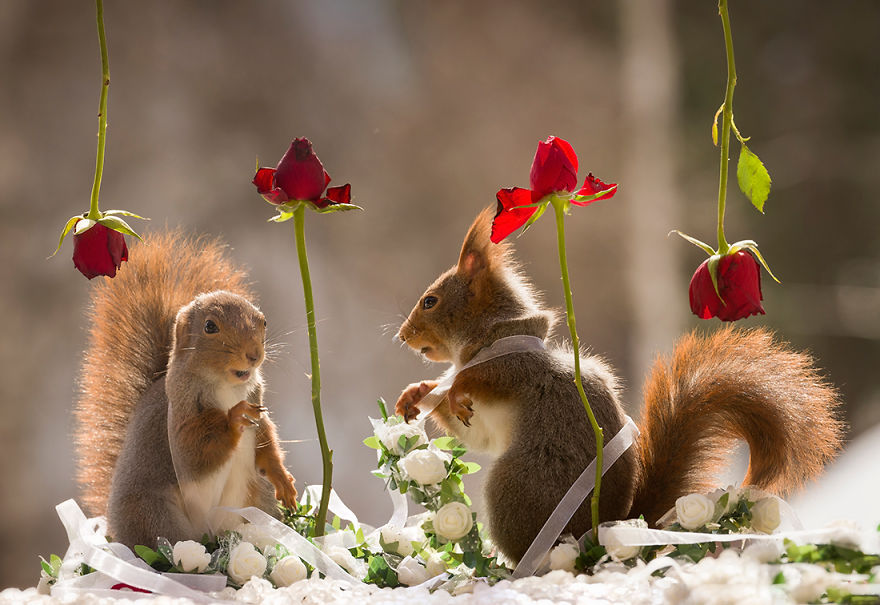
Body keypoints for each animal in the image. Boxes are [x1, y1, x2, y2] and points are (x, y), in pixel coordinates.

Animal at [74, 231, 298, 548]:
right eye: (210, 326)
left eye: (264, 322)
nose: (254, 355)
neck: (227, 386)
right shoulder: (180, 418)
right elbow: (196, 453)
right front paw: (234, 417)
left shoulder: (258, 402)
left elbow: (266, 440)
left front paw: (283, 478)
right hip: (153, 517)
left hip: (256, 501)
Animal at [395, 207, 844, 563]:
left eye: (430, 301)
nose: (402, 336)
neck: (490, 337)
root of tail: (600, 533)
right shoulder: (487, 417)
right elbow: (478, 436)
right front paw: (416, 393)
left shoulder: (517, 366)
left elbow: (478, 377)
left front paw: (453, 387)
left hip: (516, 487)